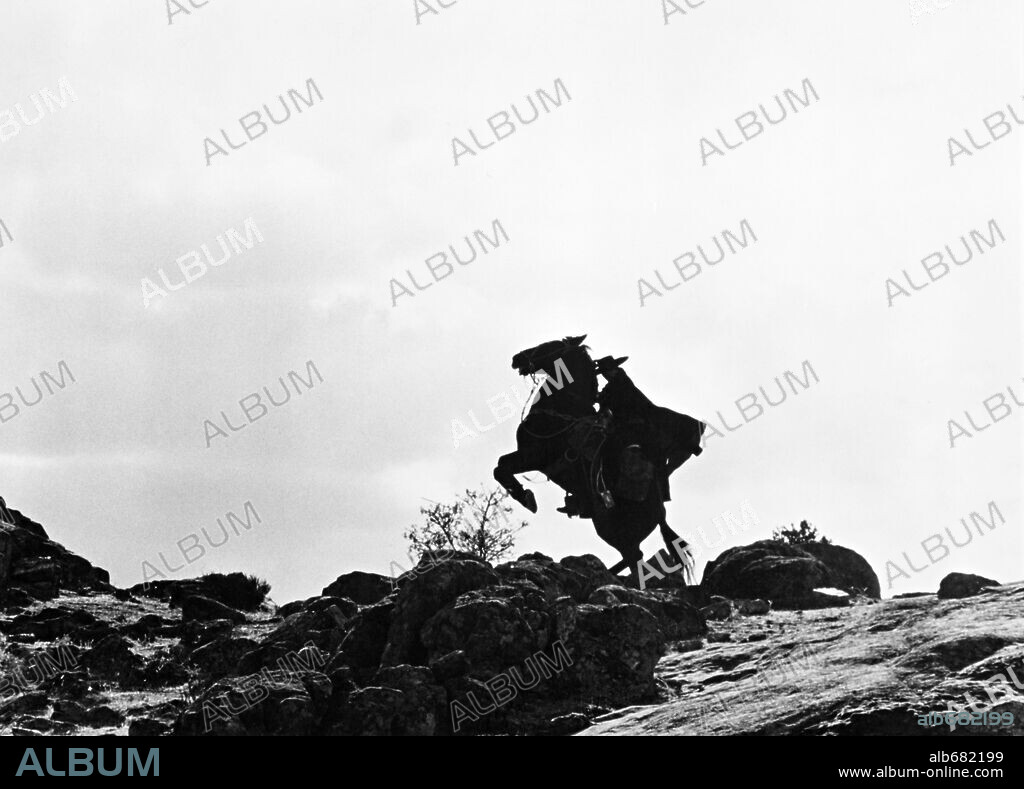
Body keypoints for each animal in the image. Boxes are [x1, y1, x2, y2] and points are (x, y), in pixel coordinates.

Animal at [493, 333, 696, 585]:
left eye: (550, 346)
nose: (517, 358)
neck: (561, 408)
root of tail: (660, 513)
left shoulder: (533, 456)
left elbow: (501, 467)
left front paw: (525, 497)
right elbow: (500, 466)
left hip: (614, 529)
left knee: (635, 559)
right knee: (633, 557)